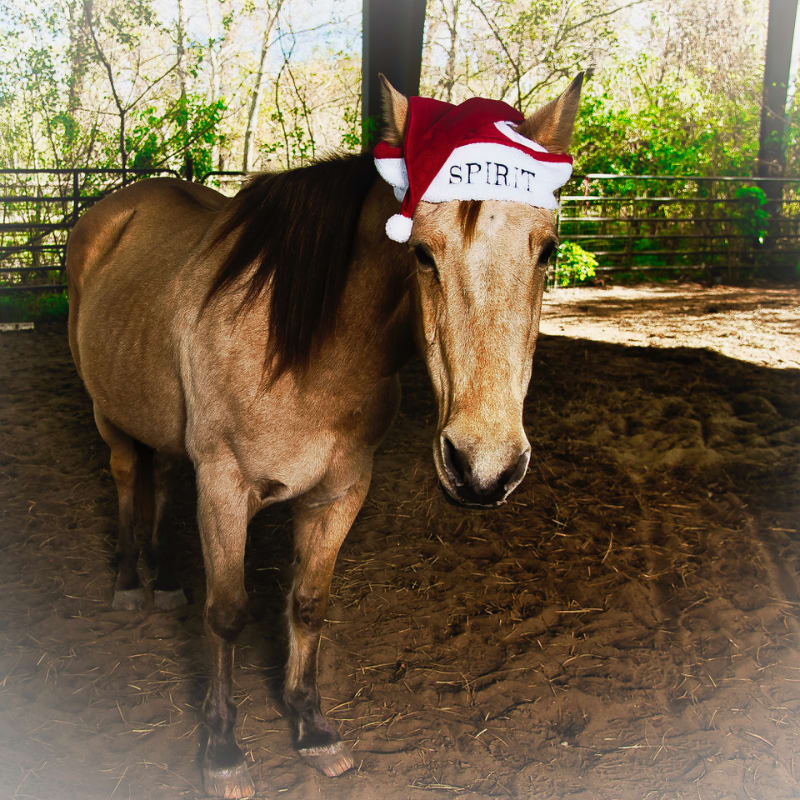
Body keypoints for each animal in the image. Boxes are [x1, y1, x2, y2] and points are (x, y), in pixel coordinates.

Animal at [66, 74, 583, 798]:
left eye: (548, 249)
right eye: (421, 254)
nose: (484, 467)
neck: (304, 352)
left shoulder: (340, 492)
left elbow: (308, 604)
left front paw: (311, 729)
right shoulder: (224, 489)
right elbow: (227, 610)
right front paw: (223, 749)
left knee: (161, 476)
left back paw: (163, 580)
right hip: (108, 417)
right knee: (124, 478)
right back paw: (126, 583)